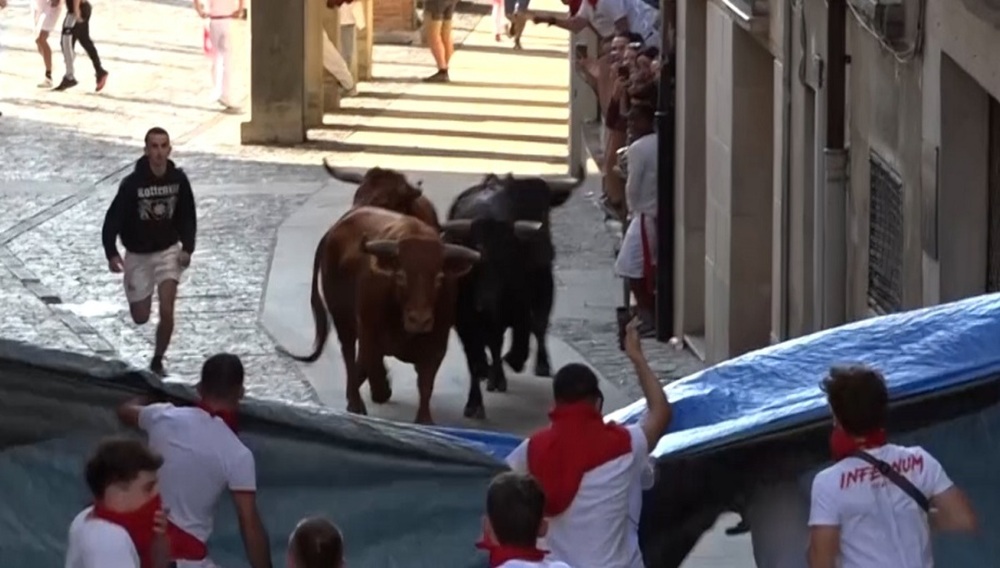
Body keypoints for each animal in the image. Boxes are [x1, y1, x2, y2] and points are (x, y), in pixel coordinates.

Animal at [282, 204, 480, 422]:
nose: (419, 320)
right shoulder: (369, 333)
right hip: (343, 319)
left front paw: (424, 419)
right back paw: (356, 401)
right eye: (401, 276)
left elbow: (425, 385)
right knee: (349, 354)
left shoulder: (436, 345)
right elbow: (373, 363)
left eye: (439, 277)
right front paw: (379, 390)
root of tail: (335, 229)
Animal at [440, 175, 580, 420]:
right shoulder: (464, 322)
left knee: (536, 328)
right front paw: (474, 402)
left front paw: (511, 363)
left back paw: (534, 366)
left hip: (543, 286)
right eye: (476, 260)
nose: (484, 304)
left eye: (507, 259)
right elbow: (475, 359)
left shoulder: (521, 307)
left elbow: (523, 338)